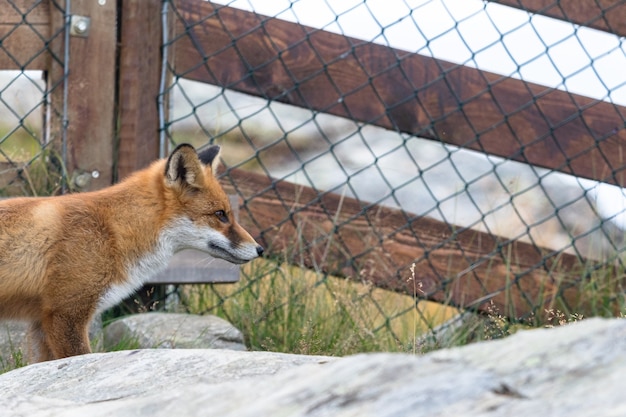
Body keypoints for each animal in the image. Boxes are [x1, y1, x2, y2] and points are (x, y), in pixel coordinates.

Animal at [0, 144, 260, 360]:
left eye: (228, 214)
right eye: (220, 215)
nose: (260, 249)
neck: (114, 231)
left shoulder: (41, 323)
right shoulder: (65, 314)